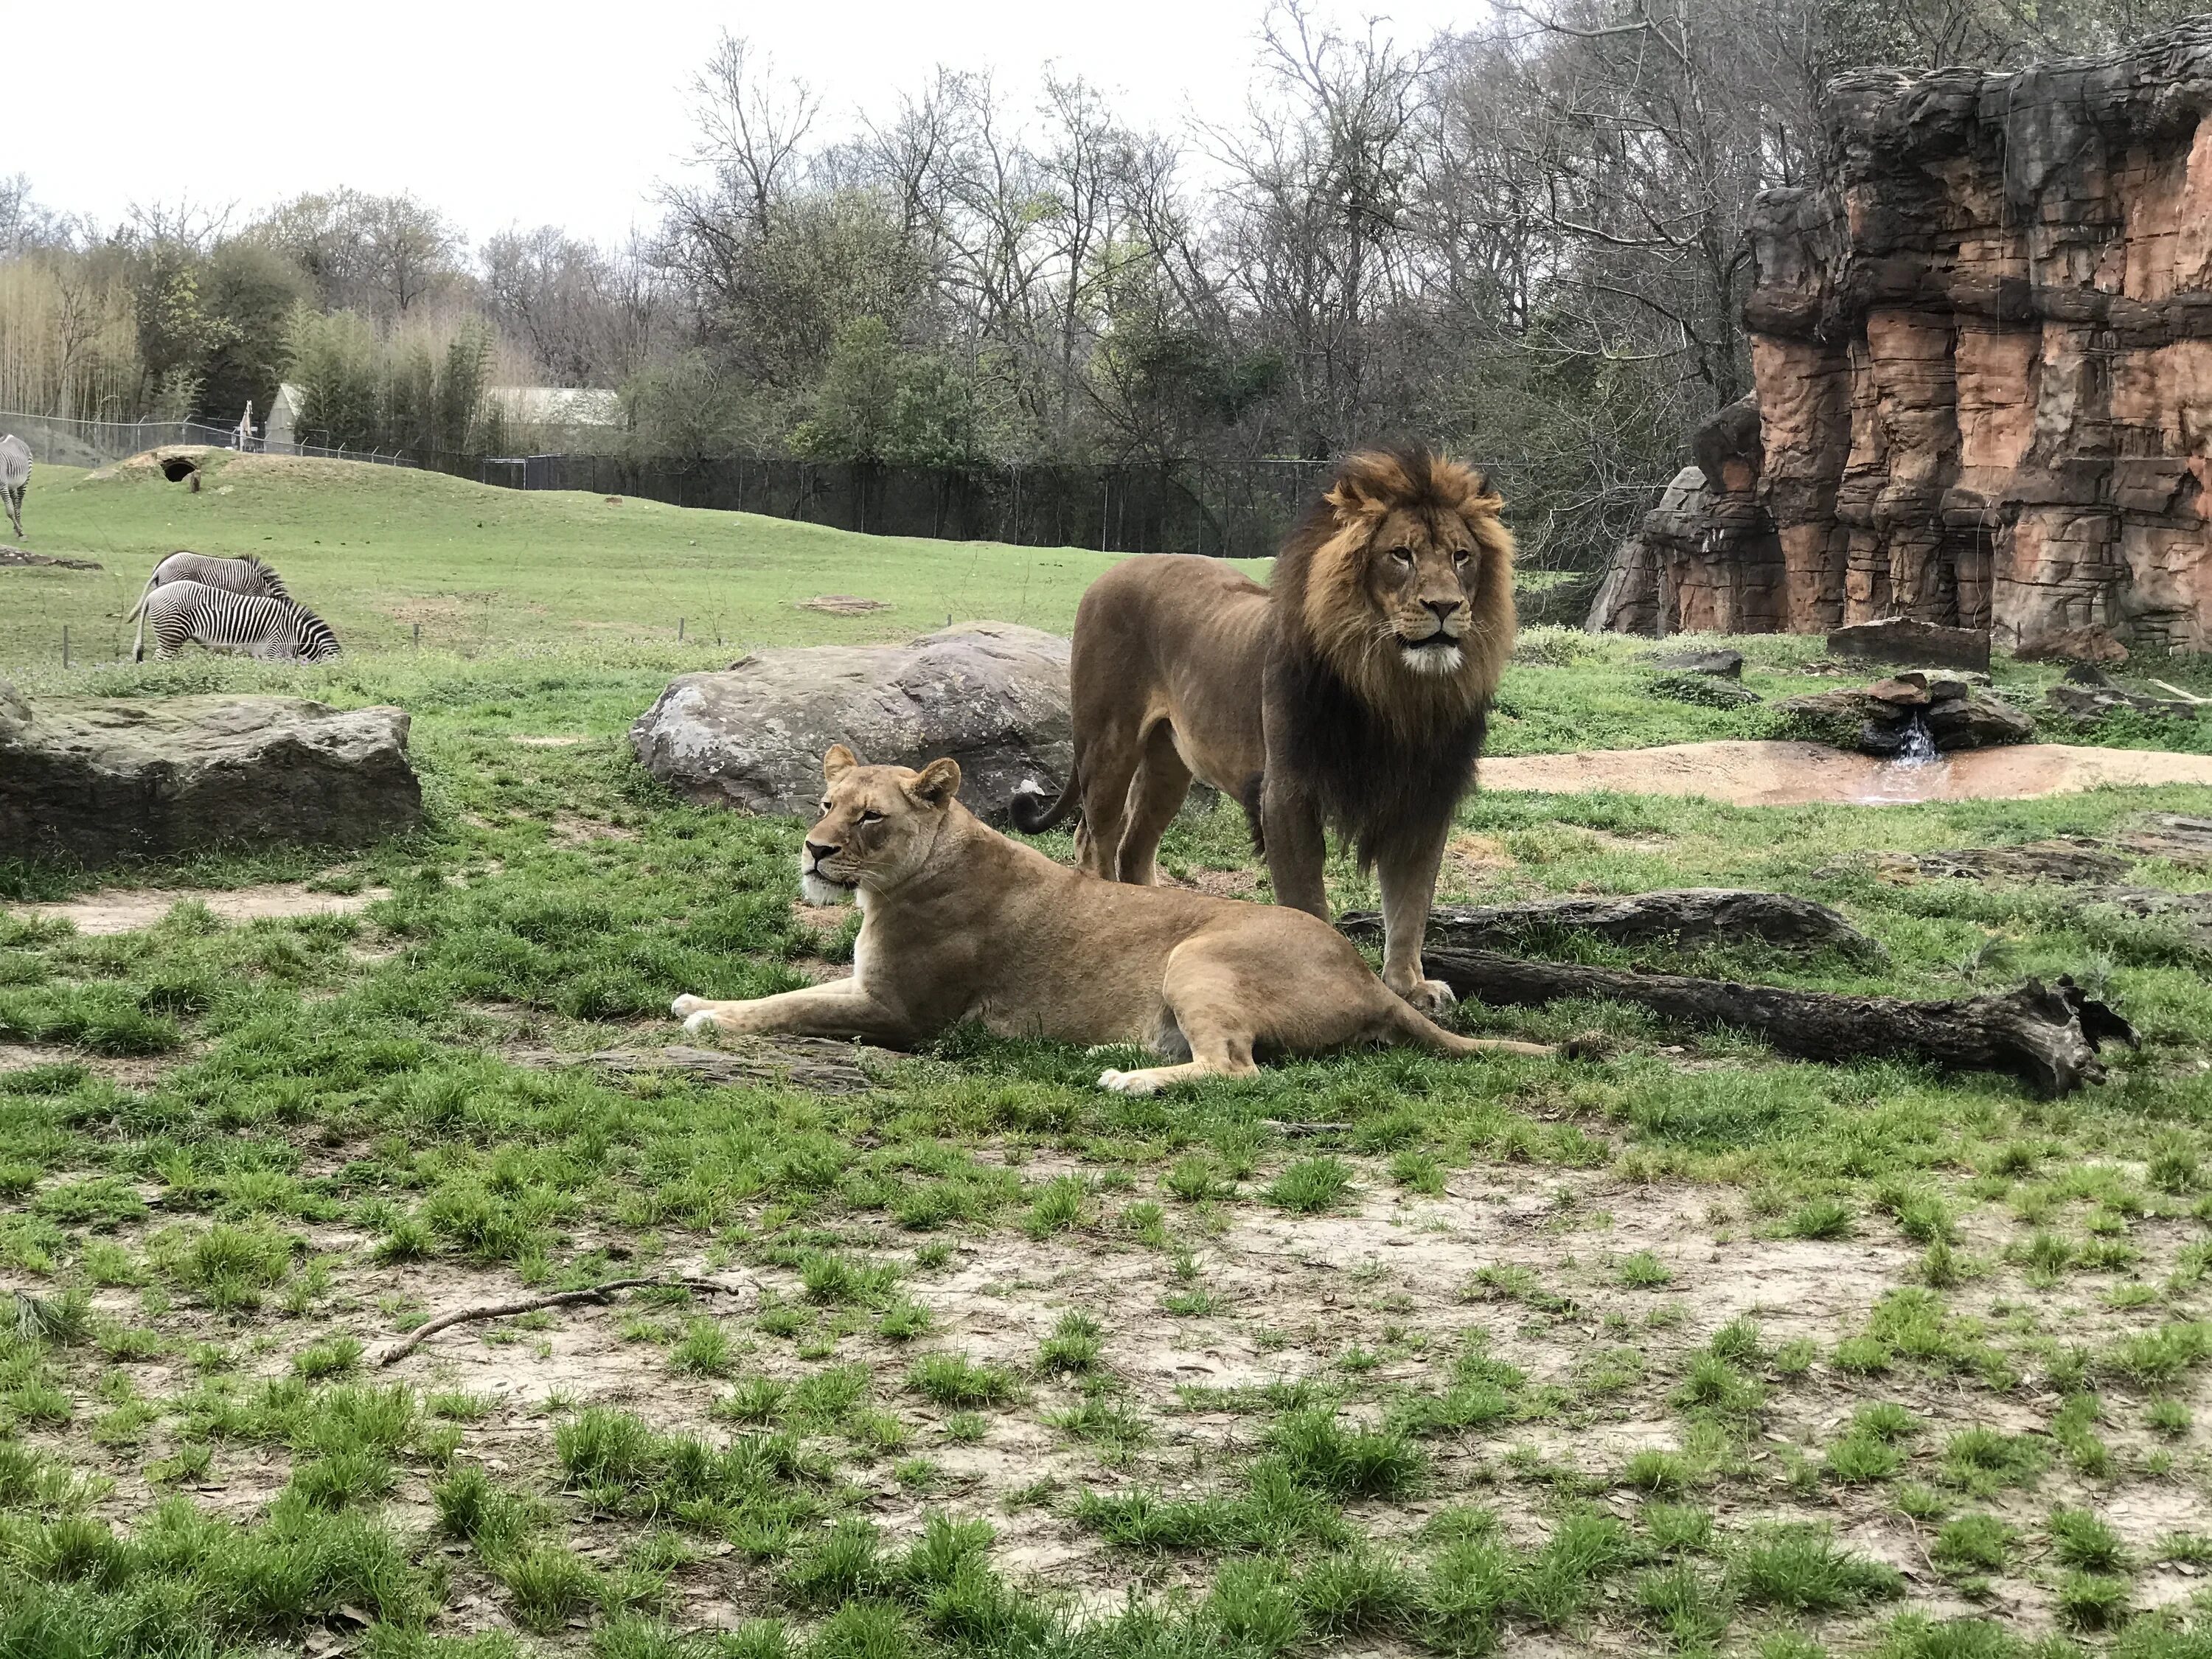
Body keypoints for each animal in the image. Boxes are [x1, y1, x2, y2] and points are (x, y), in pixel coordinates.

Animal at [0, 436, 29, 540]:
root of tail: (11, 436)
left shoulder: (2, 485)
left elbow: (9, 512)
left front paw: (20, 533)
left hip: (24, 481)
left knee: (18, 503)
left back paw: (18, 526)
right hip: (11, 485)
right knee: (15, 500)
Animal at [133, 584, 338, 664]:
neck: (296, 633)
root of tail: (152, 595)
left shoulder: (261, 655)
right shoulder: (274, 652)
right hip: (171, 635)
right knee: (159, 661)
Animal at [664, 748, 1548, 1097]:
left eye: (871, 817)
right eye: (824, 804)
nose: (814, 851)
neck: (895, 882)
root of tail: (1368, 976)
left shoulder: (900, 1011)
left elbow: (790, 1007)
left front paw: (707, 1019)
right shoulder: (870, 988)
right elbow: (792, 988)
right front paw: (697, 998)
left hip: (1197, 956)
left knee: (1236, 1068)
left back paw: (1128, 1080)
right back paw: (1116, 1052)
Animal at [1013, 445, 1513, 1013]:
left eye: (1461, 557)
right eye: (1400, 555)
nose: (1445, 607)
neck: (1395, 691)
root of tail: (1109, 573)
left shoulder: (1423, 798)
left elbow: (1410, 903)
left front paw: (1410, 986)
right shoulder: (1286, 792)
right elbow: (1307, 900)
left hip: (1169, 765)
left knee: (1132, 847)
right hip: (1108, 745)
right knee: (1093, 840)